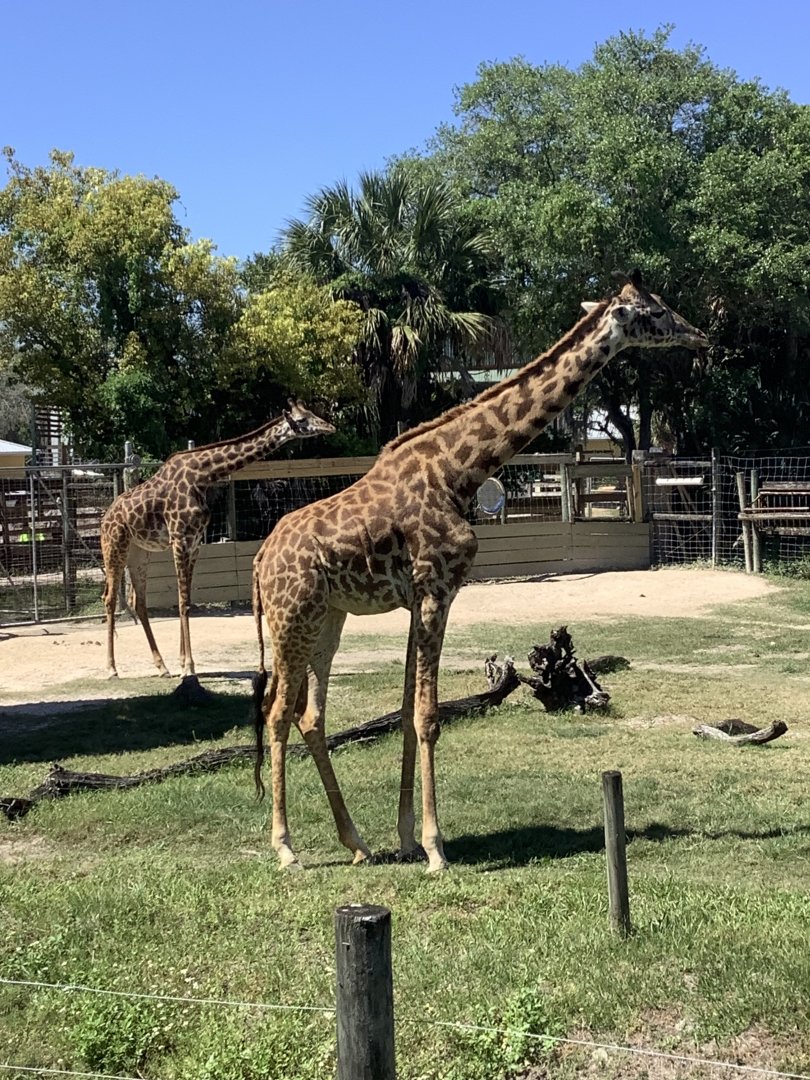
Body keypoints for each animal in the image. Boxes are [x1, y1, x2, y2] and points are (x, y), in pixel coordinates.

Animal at [101, 401, 335, 693]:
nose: (330, 426)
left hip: (140, 553)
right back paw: (111, 669)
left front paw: (182, 664)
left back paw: (161, 667)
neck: (204, 475)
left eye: (312, 413)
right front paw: (189, 667)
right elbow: (183, 602)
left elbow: (186, 600)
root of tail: (104, 518)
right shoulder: (180, 538)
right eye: (303, 420)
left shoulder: (194, 543)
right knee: (110, 598)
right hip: (115, 546)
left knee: (138, 601)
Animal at [251, 273, 708, 871]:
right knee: (278, 713)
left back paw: (357, 844)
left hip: (329, 618)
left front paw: (406, 839)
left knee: (310, 715)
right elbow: (428, 715)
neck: (458, 472)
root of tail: (260, 559)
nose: (700, 336)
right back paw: (286, 850)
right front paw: (435, 849)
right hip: (293, 617)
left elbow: (407, 711)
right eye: (653, 313)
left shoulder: (416, 597)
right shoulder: (437, 589)